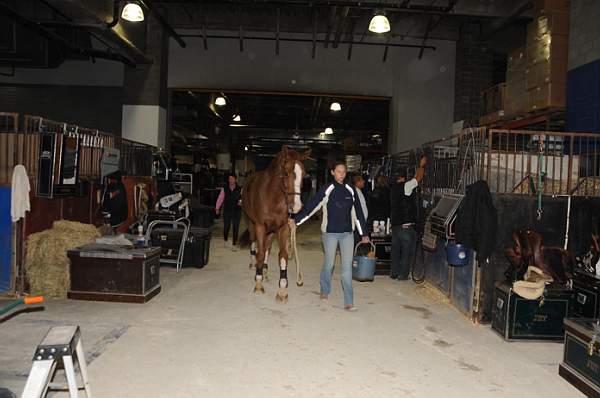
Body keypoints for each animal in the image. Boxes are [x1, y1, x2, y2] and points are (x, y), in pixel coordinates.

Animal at [243, 146, 312, 302]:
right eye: (286, 173)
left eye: (304, 175)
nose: (296, 206)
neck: (272, 197)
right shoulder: (260, 226)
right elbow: (260, 253)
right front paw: (258, 284)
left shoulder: (283, 227)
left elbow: (283, 255)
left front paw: (282, 290)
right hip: (252, 224)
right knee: (253, 244)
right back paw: (253, 265)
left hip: (271, 231)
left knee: (267, 248)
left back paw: (265, 272)